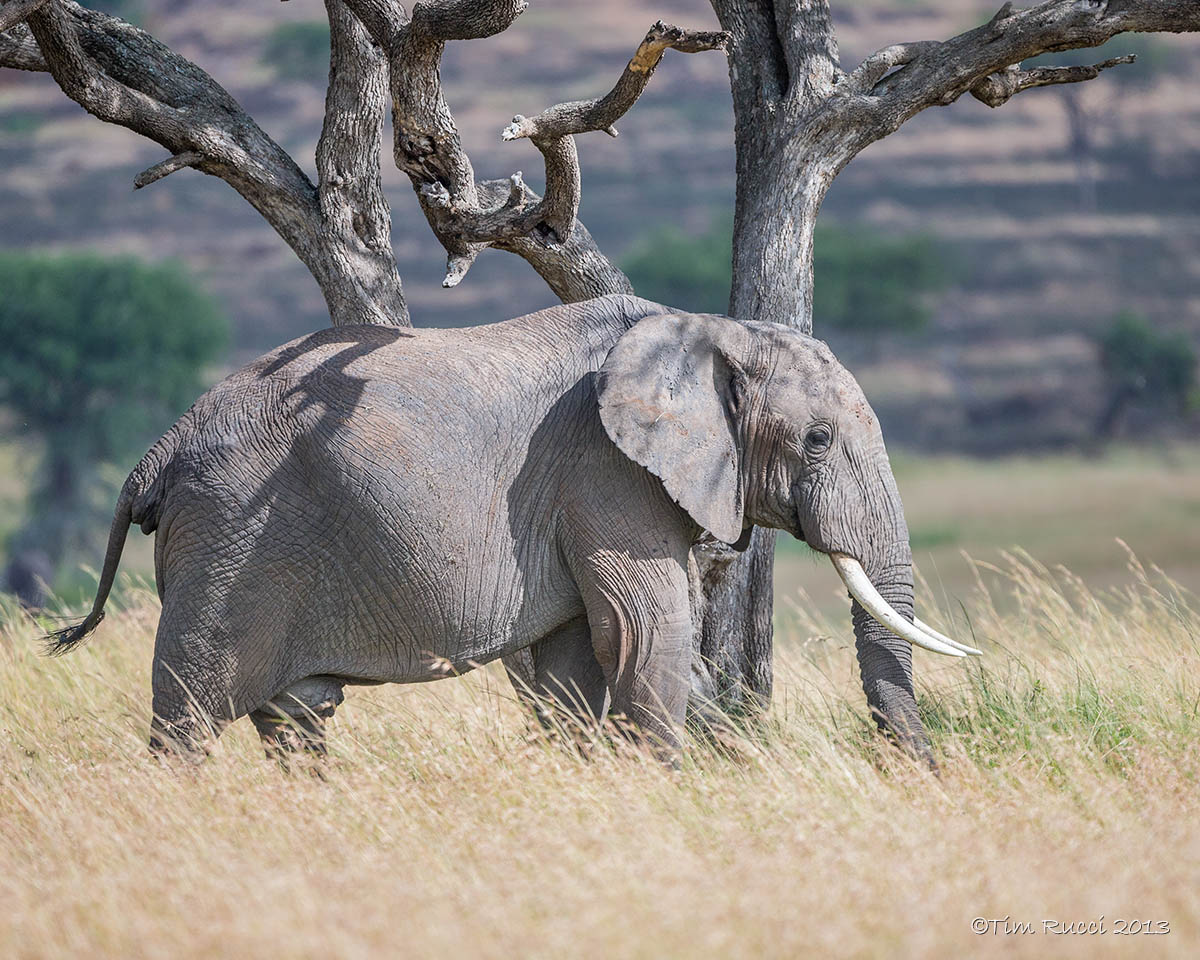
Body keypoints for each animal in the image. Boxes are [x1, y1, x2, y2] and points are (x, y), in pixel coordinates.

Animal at [51, 292, 979, 763]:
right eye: (817, 439)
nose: (920, 776)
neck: (709, 332)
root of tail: (158, 451)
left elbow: (579, 658)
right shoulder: (605, 471)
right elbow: (648, 631)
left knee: (297, 720)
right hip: (228, 534)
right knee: (190, 710)